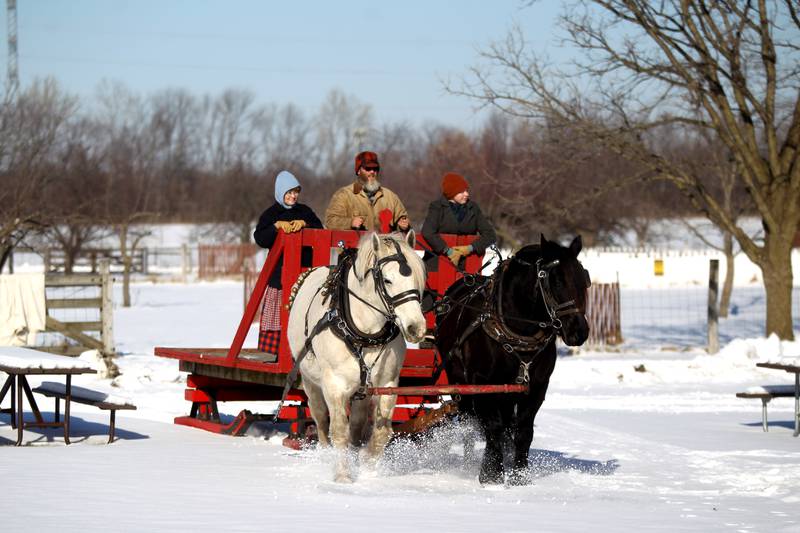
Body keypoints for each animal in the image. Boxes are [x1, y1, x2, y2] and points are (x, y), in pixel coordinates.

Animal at [286, 231, 424, 480]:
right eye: (387, 280)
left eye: (417, 279)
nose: (416, 328)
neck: (365, 332)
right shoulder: (334, 384)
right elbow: (338, 429)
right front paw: (343, 475)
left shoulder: (386, 383)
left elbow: (381, 431)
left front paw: (367, 463)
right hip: (310, 379)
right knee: (320, 417)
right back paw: (325, 454)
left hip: (362, 391)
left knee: (358, 424)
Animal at [434, 235, 592, 484]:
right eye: (556, 281)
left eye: (583, 279)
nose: (579, 331)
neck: (517, 329)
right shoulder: (483, 383)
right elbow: (493, 426)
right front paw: (492, 475)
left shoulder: (536, 386)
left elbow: (524, 430)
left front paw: (520, 475)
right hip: (459, 380)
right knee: (470, 420)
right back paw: (469, 462)